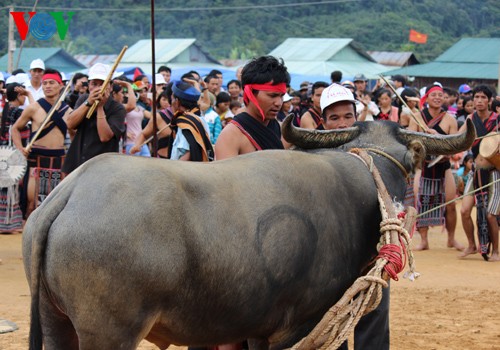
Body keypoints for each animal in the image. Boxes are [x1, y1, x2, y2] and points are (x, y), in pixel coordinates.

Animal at [23, 118, 474, 350]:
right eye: (411, 164)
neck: (361, 183)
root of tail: (72, 191)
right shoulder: (300, 327)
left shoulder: (258, 329)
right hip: (110, 334)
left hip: (56, 324)